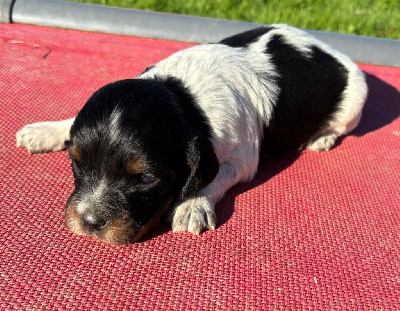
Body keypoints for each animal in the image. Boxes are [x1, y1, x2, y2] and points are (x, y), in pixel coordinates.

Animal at [15, 24, 368, 245]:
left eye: (145, 179)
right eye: (76, 162)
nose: (88, 222)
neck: (183, 96)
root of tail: (333, 51)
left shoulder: (243, 159)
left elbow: (214, 175)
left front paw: (191, 205)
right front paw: (45, 129)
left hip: (355, 102)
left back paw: (321, 138)